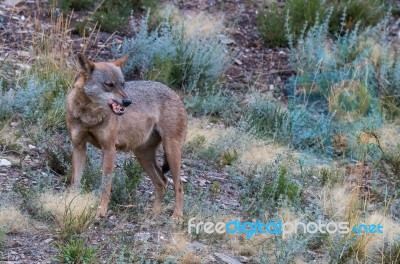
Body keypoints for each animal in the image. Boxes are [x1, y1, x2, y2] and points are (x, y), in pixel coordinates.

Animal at [66, 53, 188, 219]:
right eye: (109, 85)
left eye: (123, 84)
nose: (128, 101)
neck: (89, 116)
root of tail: (175, 93)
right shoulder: (79, 146)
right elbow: (76, 181)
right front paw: (71, 203)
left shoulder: (109, 149)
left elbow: (106, 185)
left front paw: (101, 211)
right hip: (142, 156)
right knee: (162, 182)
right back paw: (154, 214)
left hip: (170, 152)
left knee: (178, 185)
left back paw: (177, 216)